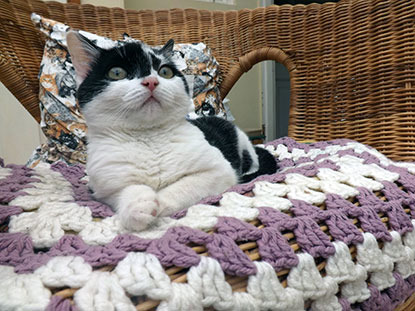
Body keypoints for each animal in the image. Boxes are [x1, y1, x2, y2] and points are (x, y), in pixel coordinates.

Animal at [66, 31, 278, 232]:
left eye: (165, 72)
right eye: (117, 72)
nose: (151, 81)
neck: (148, 137)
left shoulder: (219, 171)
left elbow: (184, 186)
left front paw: (160, 203)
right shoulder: (101, 188)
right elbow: (124, 190)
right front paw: (138, 205)